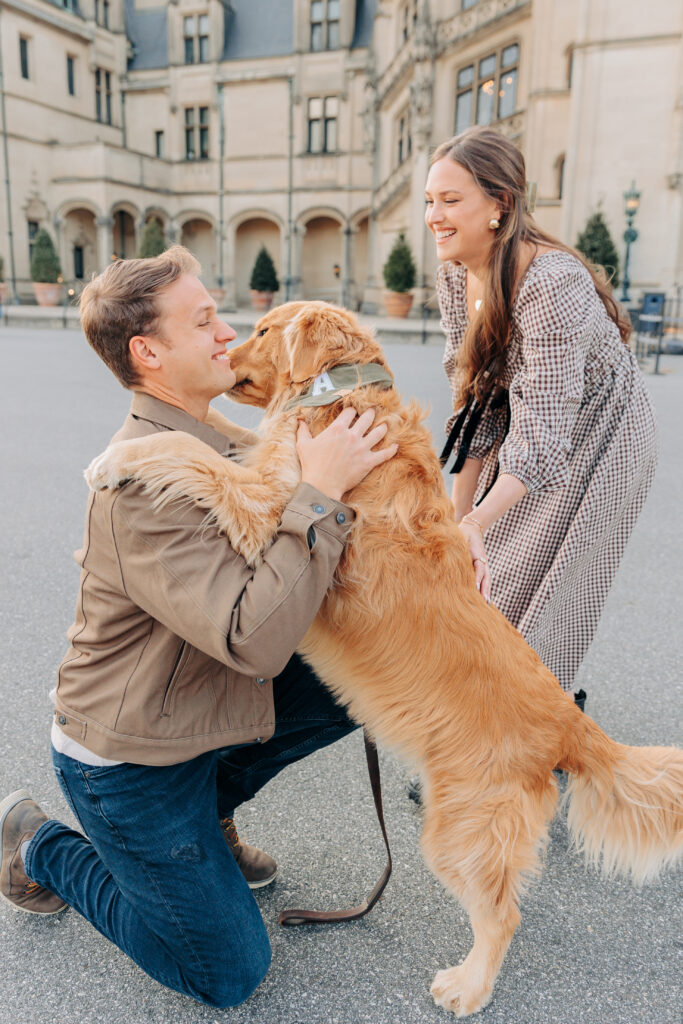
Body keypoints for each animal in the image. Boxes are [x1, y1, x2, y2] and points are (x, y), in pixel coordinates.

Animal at [85, 299, 683, 1015]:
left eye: (262, 330)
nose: (225, 352)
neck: (342, 391)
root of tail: (571, 722)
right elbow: (222, 436)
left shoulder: (269, 511)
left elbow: (188, 448)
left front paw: (118, 457)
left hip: (460, 829)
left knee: (500, 914)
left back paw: (468, 986)